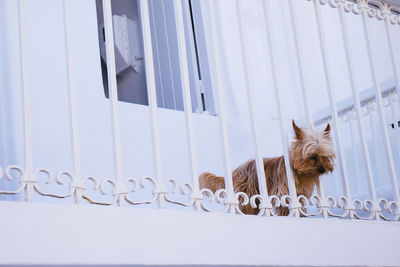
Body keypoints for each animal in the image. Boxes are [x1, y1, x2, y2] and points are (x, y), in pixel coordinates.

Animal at [199, 120, 334, 217]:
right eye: (313, 157)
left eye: (325, 156)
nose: (323, 169)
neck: (302, 173)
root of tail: (235, 172)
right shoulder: (282, 193)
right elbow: (285, 208)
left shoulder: (301, 195)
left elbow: (300, 208)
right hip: (247, 194)